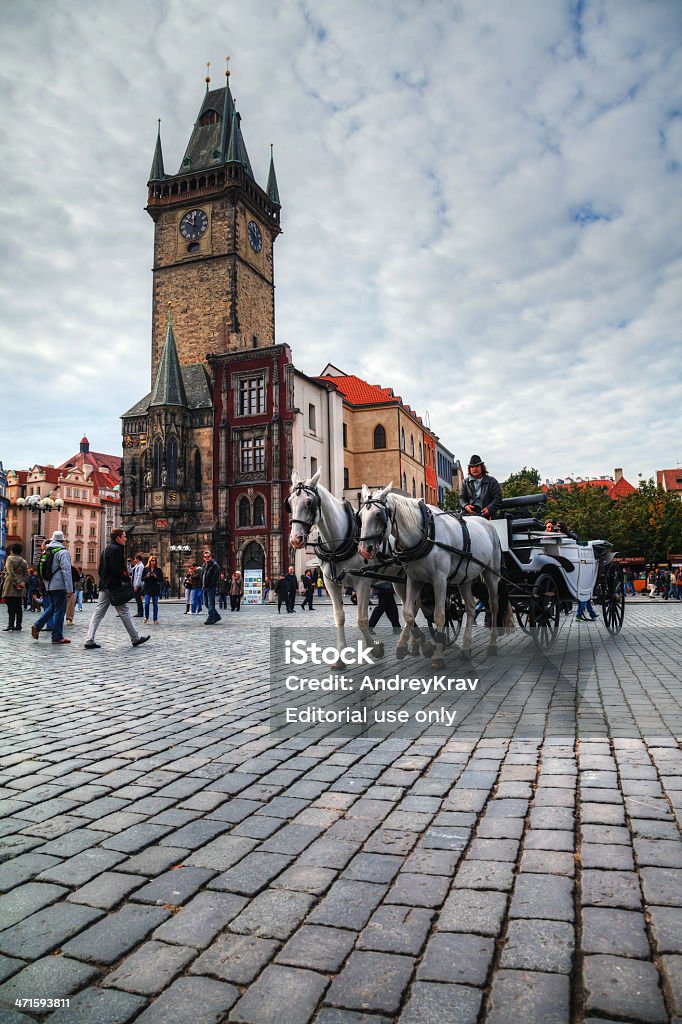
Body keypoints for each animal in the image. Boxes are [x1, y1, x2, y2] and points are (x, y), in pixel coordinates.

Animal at [286, 473, 430, 663]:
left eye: (309, 502)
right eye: (289, 502)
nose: (295, 539)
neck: (340, 542)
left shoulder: (363, 583)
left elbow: (362, 620)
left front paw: (375, 648)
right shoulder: (330, 583)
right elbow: (339, 617)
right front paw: (339, 657)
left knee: (413, 606)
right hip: (400, 581)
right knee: (413, 606)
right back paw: (413, 643)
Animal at [356, 483, 499, 667]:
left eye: (378, 515)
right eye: (360, 517)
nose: (364, 550)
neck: (425, 535)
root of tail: (486, 522)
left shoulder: (440, 580)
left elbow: (440, 616)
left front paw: (437, 655)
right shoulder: (414, 579)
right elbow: (408, 613)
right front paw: (425, 646)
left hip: (491, 573)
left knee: (493, 605)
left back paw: (492, 645)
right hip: (464, 579)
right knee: (471, 608)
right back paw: (465, 648)